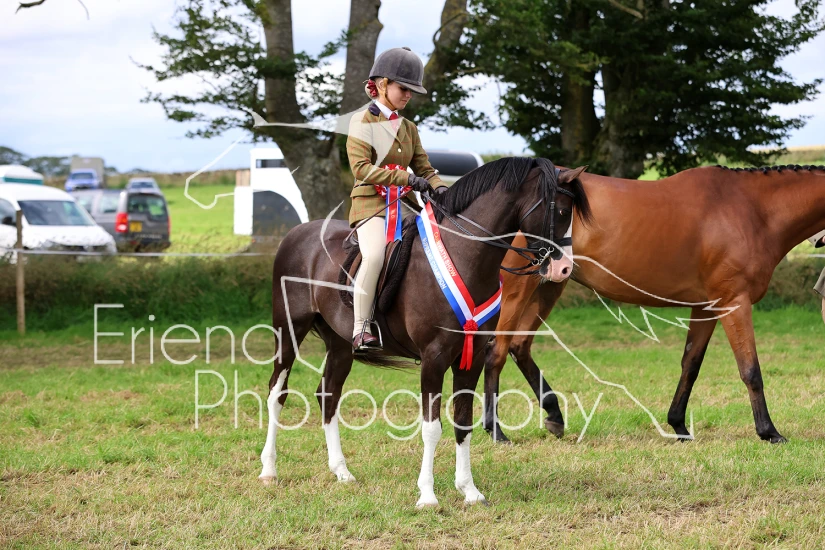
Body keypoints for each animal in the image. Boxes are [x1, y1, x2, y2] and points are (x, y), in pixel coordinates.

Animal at [259, 157, 591, 507]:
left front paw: (469, 491)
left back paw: (342, 472)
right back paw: (269, 471)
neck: (464, 254)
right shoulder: (434, 358)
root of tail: (296, 233)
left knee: (329, 395)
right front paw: (428, 496)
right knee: (277, 392)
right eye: (561, 211)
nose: (564, 269)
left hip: (340, 344)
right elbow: (432, 428)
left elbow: (462, 421)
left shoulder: (471, 357)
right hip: (288, 331)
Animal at [483, 164, 825, 444]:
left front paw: (678, 425)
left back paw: (554, 415)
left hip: (550, 285)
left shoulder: (706, 307)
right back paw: (495, 430)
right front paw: (769, 431)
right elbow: (750, 369)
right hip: (518, 288)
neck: (753, 210)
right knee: (497, 351)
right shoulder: (734, 303)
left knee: (520, 346)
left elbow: (691, 364)